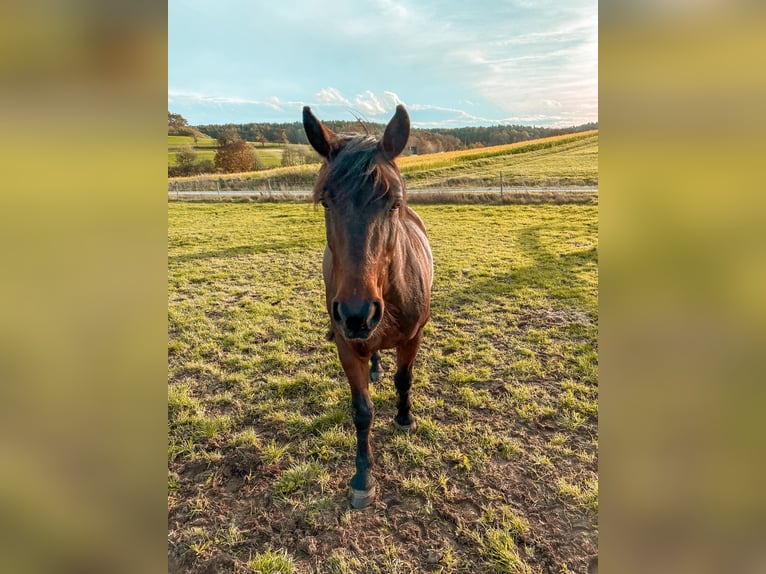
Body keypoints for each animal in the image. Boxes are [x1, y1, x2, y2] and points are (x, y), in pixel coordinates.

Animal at [303, 105, 433, 508]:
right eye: (326, 201)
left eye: (394, 203)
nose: (357, 314)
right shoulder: (349, 348)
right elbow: (362, 412)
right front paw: (363, 476)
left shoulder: (413, 337)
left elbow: (404, 379)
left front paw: (405, 419)